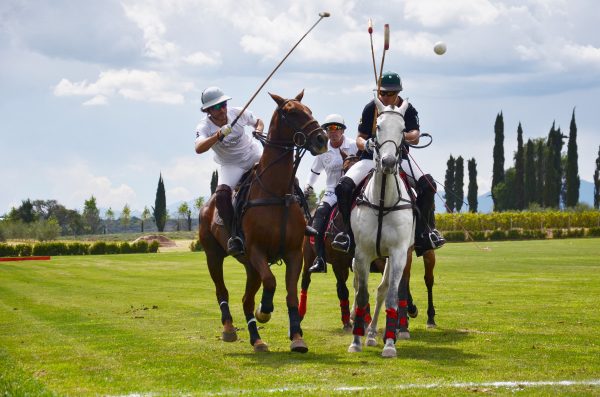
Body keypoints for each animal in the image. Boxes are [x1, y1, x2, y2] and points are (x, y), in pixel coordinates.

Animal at [199, 91, 326, 352]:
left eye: (308, 109)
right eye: (291, 112)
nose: (322, 138)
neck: (276, 192)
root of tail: (206, 205)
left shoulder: (293, 252)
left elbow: (290, 294)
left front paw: (297, 337)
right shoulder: (256, 249)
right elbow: (271, 281)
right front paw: (265, 310)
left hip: (249, 266)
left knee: (246, 299)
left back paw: (256, 339)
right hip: (213, 255)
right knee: (222, 291)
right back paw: (229, 329)